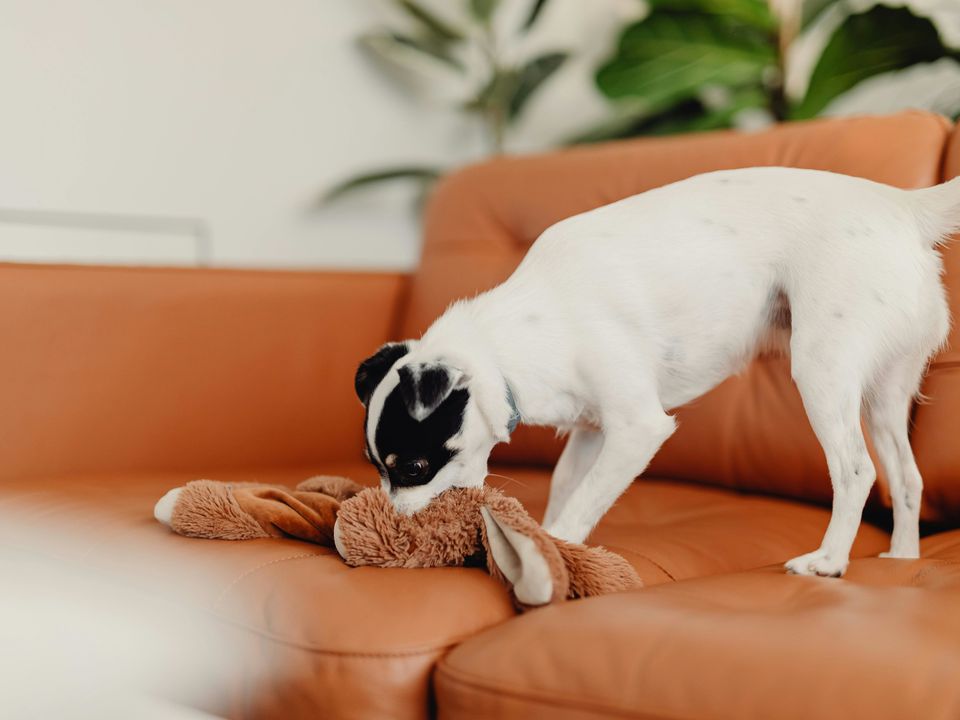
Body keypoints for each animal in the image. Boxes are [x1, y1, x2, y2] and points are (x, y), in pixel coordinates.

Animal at [356, 166, 956, 576]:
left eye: (413, 467)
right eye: (376, 467)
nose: (396, 526)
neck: (517, 336)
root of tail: (902, 207)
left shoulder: (637, 428)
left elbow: (581, 506)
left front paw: (559, 553)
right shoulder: (592, 433)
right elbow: (567, 488)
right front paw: (543, 540)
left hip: (821, 371)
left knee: (856, 470)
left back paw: (828, 561)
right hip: (884, 394)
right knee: (906, 477)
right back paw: (902, 558)